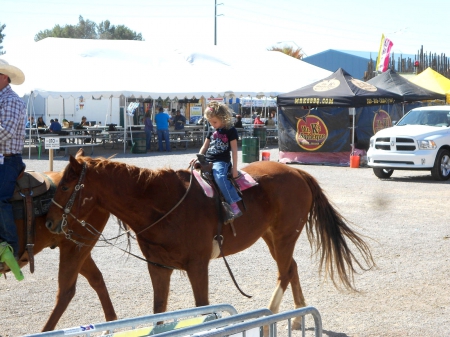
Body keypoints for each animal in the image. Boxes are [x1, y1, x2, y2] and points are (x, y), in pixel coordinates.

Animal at [46, 150, 376, 328]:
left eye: (64, 186)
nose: (49, 221)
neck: (163, 204)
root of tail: (297, 173)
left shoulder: (197, 266)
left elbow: (202, 306)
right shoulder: (158, 267)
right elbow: (159, 310)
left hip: (284, 236)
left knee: (284, 272)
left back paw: (270, 313)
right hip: (272, 237)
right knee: (291, 268)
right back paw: (296, 317)